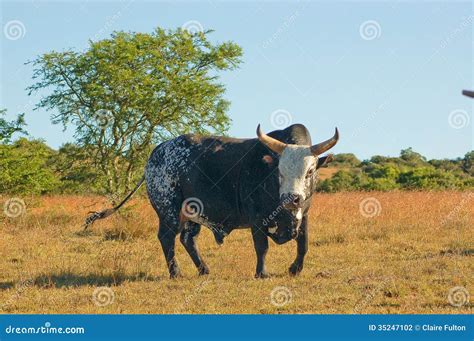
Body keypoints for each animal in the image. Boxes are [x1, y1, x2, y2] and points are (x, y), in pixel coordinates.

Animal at [84, 123, 336, 278]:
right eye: (279, 172)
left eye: (310, 171)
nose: (292, 198)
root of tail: (156, 153)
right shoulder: (256, 218)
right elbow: (261, 246)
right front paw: (261, 273)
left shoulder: (304, 214)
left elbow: (303, 243)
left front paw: (295, 269)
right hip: (168, 211)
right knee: (167, 238)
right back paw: (176, 273)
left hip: (191, 213)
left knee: (188, 239)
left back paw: (203, 269)